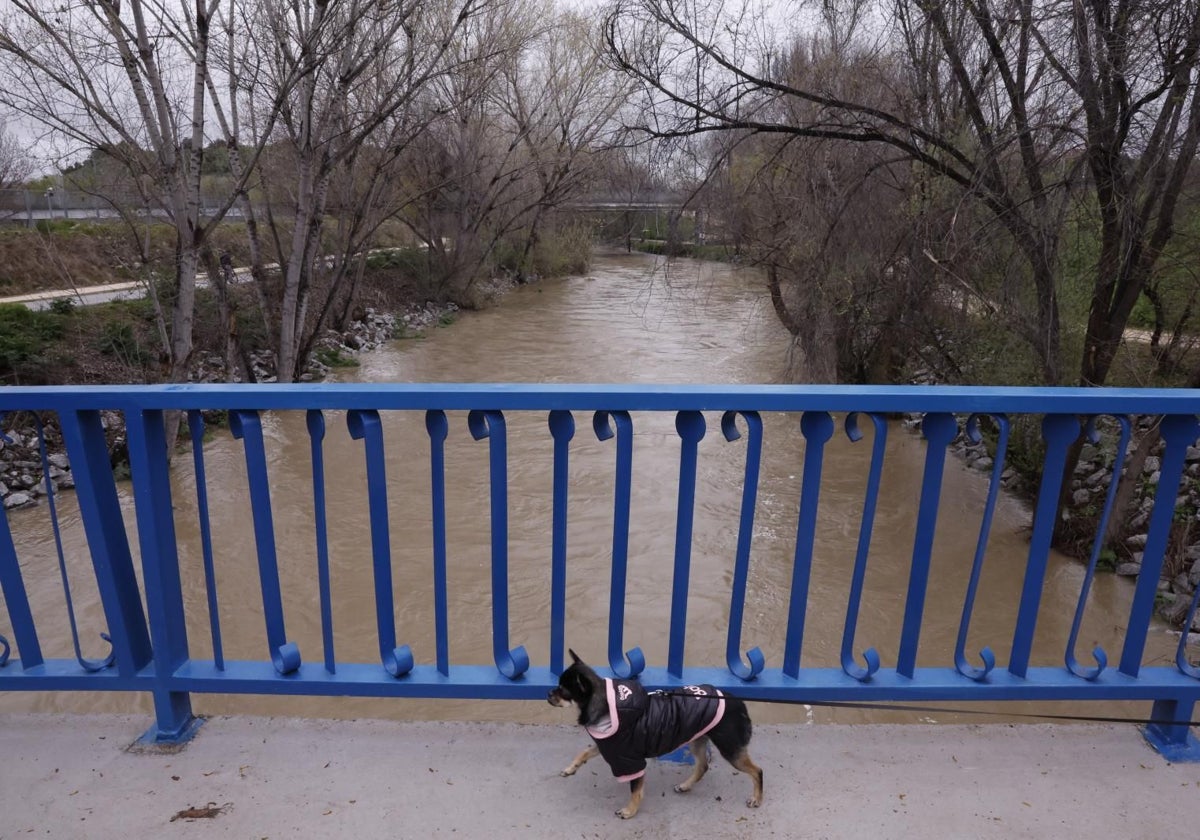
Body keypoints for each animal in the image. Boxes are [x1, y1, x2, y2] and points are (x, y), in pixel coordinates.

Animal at [549, 648, 763, 820]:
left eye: (563, 690)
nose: (548, 694)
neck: (608, 707)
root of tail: (738, 702)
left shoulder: (630, 761)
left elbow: (636, 790)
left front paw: (630, 811)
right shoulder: (608, 746)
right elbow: (583, 753)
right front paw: (571, 768)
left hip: (730, 749)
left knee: (757, 771)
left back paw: (757, 799)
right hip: (698, 739)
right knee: (703, 766)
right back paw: (685, 785)